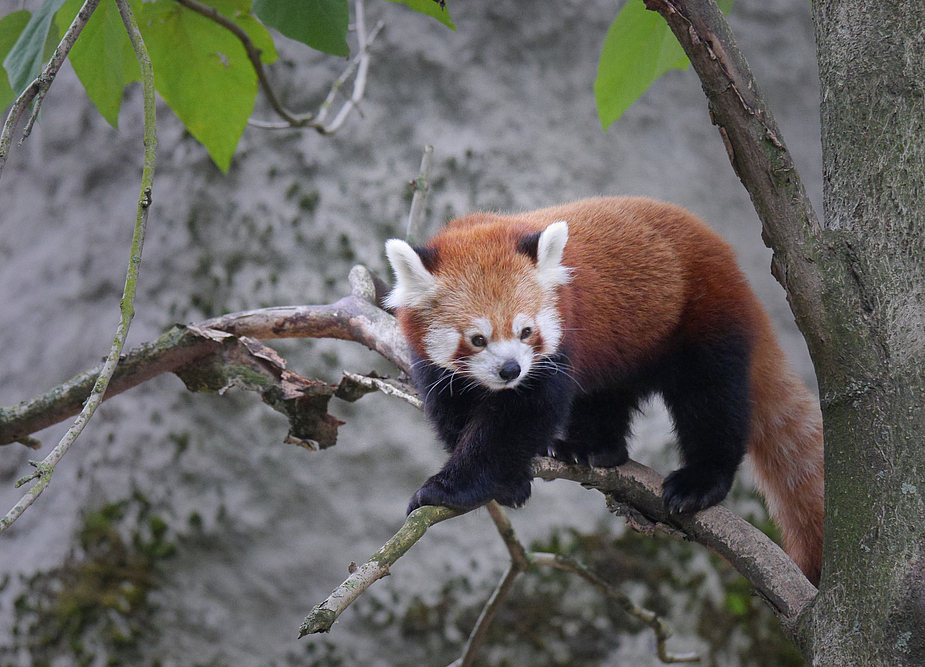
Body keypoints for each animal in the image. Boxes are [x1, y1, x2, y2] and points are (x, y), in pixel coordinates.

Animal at [382, 197, 824, 584]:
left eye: (526, 331)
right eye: (477, 339)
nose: (511, 369)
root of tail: (729, 260)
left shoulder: (556, 345)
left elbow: (518, 419)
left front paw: (449, 489)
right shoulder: (436, 368)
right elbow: (456, 417)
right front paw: (508, 483)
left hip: (702, 316)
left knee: (710, 400)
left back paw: (701, 480)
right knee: (606, 397)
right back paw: (593, 449)